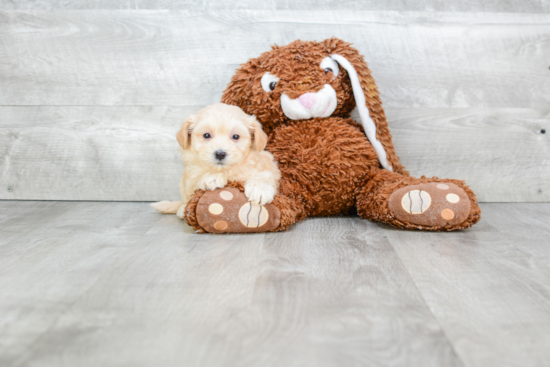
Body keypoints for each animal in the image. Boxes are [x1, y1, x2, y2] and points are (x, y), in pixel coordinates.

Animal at [151, 103, 280, 218]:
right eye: (206, 135)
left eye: (236, 137)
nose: (220, 154)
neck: (226, 170)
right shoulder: (190, 175)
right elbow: (197, 178)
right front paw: (213, 177)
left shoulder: (267, 165)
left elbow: (265, 174)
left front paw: (260, 190)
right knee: (185, 199)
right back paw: (182, 209)